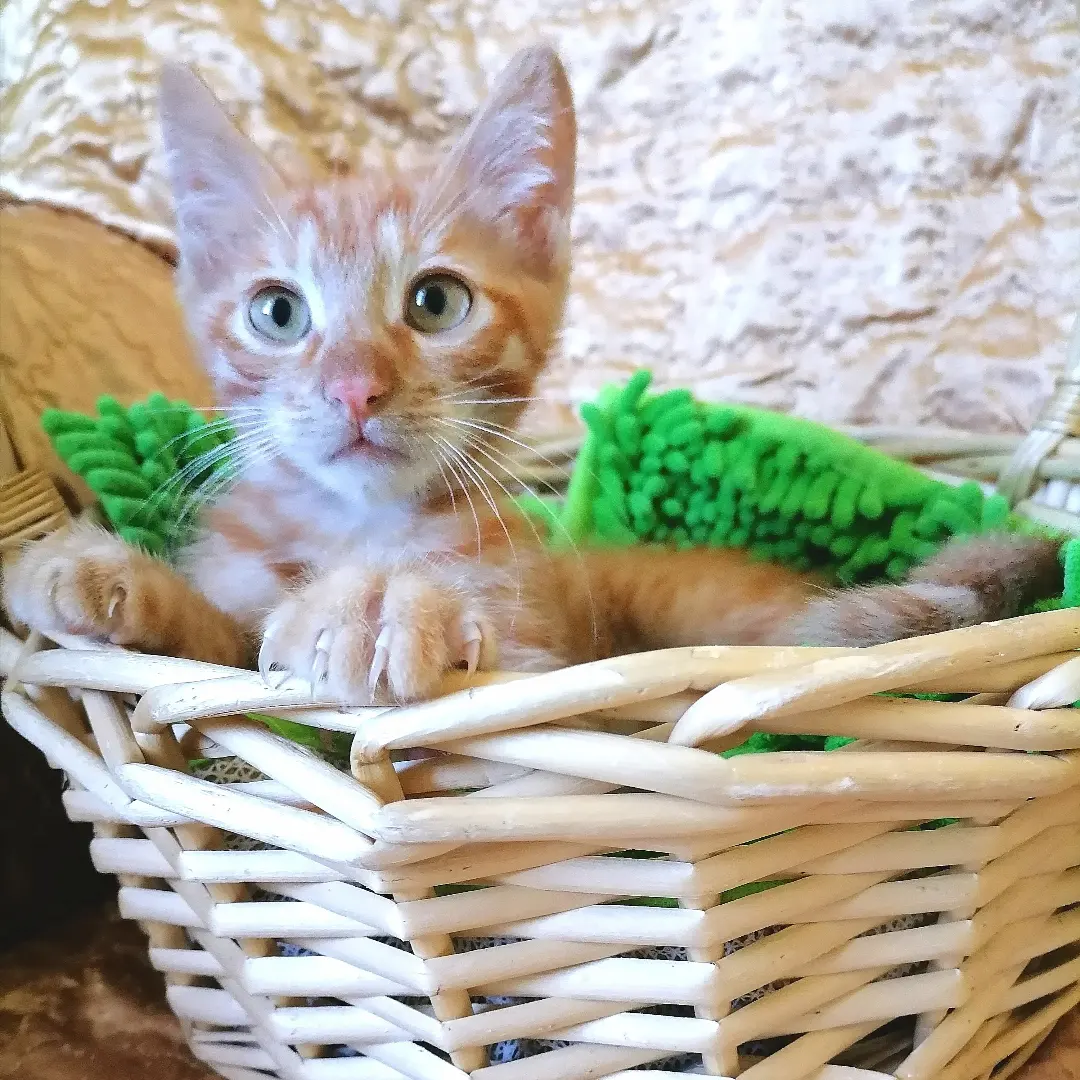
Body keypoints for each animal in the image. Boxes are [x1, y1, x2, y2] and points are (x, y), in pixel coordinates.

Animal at [2, 46, 1062, 704]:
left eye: (436, 303)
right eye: (277, 312)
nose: (354, 387)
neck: (354, 527)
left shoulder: (541, 653)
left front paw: (375, 606)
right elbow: (216, 651)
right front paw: (102, 574)